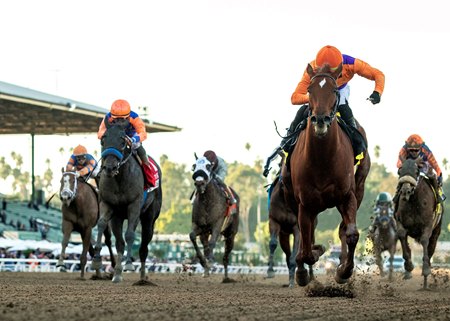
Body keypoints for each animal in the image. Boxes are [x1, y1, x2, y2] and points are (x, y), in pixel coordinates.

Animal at [91, 119, 162, 282]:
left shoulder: (134, 205)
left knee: (143, 247)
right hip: (119, 217)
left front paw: (129, 264)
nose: (109, 168)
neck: (119, 179)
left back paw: (142, 278)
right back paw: (117, 274)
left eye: (123, 142)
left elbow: (129, 234)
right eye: (103, 140)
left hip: (149, 217)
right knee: (120, 243)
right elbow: (102, 224)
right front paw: (97, 259)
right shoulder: (108, 204)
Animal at [286, 62, 370, 284]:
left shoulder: (347, 196)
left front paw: (343, 271)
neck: (322, 159)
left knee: (342, 229)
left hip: (359, 189)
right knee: (304, 235)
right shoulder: (305, 203)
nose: (320, 120)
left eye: (334, 90)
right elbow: (306, 246)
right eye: (309, 90)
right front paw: (305, 268)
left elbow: (351, 234)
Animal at [394, 158, 442, 288]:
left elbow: (425, 240)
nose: (405, 191)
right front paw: (408, 266)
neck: (414, 202)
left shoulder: (428, 224)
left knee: (431, 249)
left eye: (416, 171)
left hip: (437, 231)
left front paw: (425, 269)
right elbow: (401, 235)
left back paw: (425, 281)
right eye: (400, 171)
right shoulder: (400, 221)